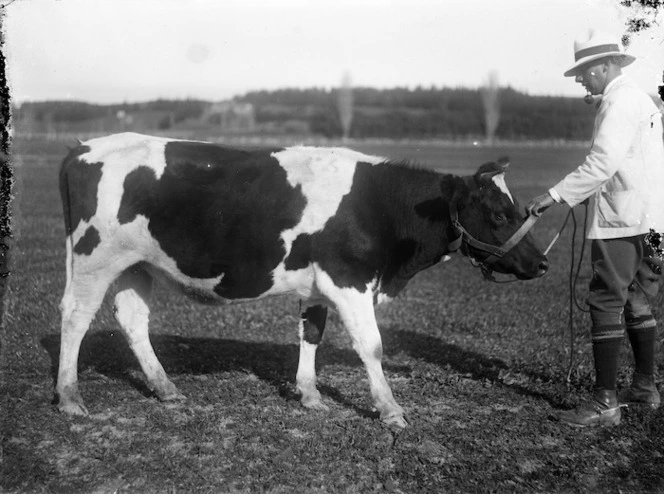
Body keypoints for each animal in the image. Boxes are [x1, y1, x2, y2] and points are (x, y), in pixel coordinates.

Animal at [57, 133, 548, 426]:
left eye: (518, 209)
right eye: (499, 215)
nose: (542, 264)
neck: (378, 207)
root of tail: (85, 147)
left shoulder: (318, 285)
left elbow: (311, 333)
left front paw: (310, 394)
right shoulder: (349, 281)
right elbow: (372, 346)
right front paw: (390, 409)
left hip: (136, 265)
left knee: (132, 320)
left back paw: (165, 389)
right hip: (94, 258)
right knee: (75, 318)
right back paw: (69, 397)